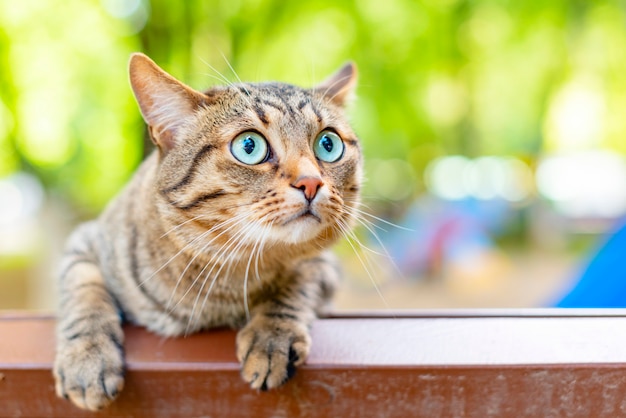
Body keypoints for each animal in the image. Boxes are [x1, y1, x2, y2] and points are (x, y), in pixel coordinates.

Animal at [53, 53, 360, 412]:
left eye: (328, 144)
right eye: (249, 146)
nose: (311, 182)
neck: (223, 282)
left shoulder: (323, 265)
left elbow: (295, 283)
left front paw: (272, 337)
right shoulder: (84, 243)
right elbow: (84, 293)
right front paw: (87, 358)